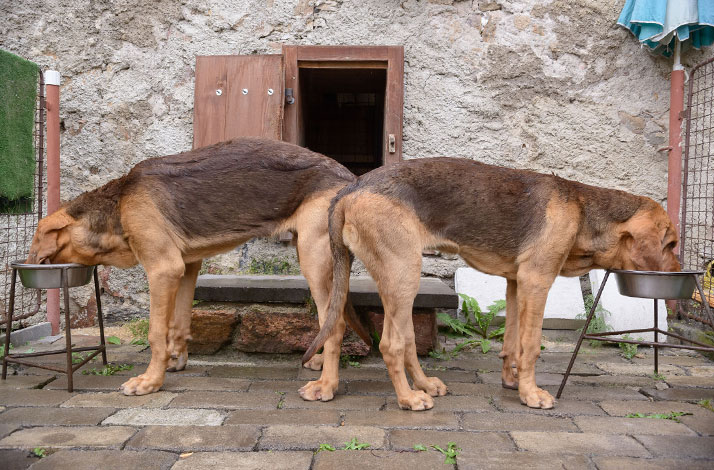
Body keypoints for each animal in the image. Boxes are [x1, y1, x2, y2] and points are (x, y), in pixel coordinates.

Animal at [26, 139, 372, 396]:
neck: (119, 204)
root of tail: (349, 179)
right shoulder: (187, 266)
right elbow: (178, 323)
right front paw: (175, 361)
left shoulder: (163, 269)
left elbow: (156, 332)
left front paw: (150, 381)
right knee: (330, 318)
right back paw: (319, 362)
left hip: (313, 258)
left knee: (336, 324)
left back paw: (326, 386)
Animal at [302, 157, 680, 408]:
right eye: (672, 244)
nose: (679, 275)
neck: (583, 209)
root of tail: (353, 186)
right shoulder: (537, 281)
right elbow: (531, 346)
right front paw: (531, 394)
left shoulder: (515, 284)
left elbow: (512, 343)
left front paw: (512, 383)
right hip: (403, 274)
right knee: (391, 345)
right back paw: (409, 398)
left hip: (390, 282)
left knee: (396, 338)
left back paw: (415, 385)